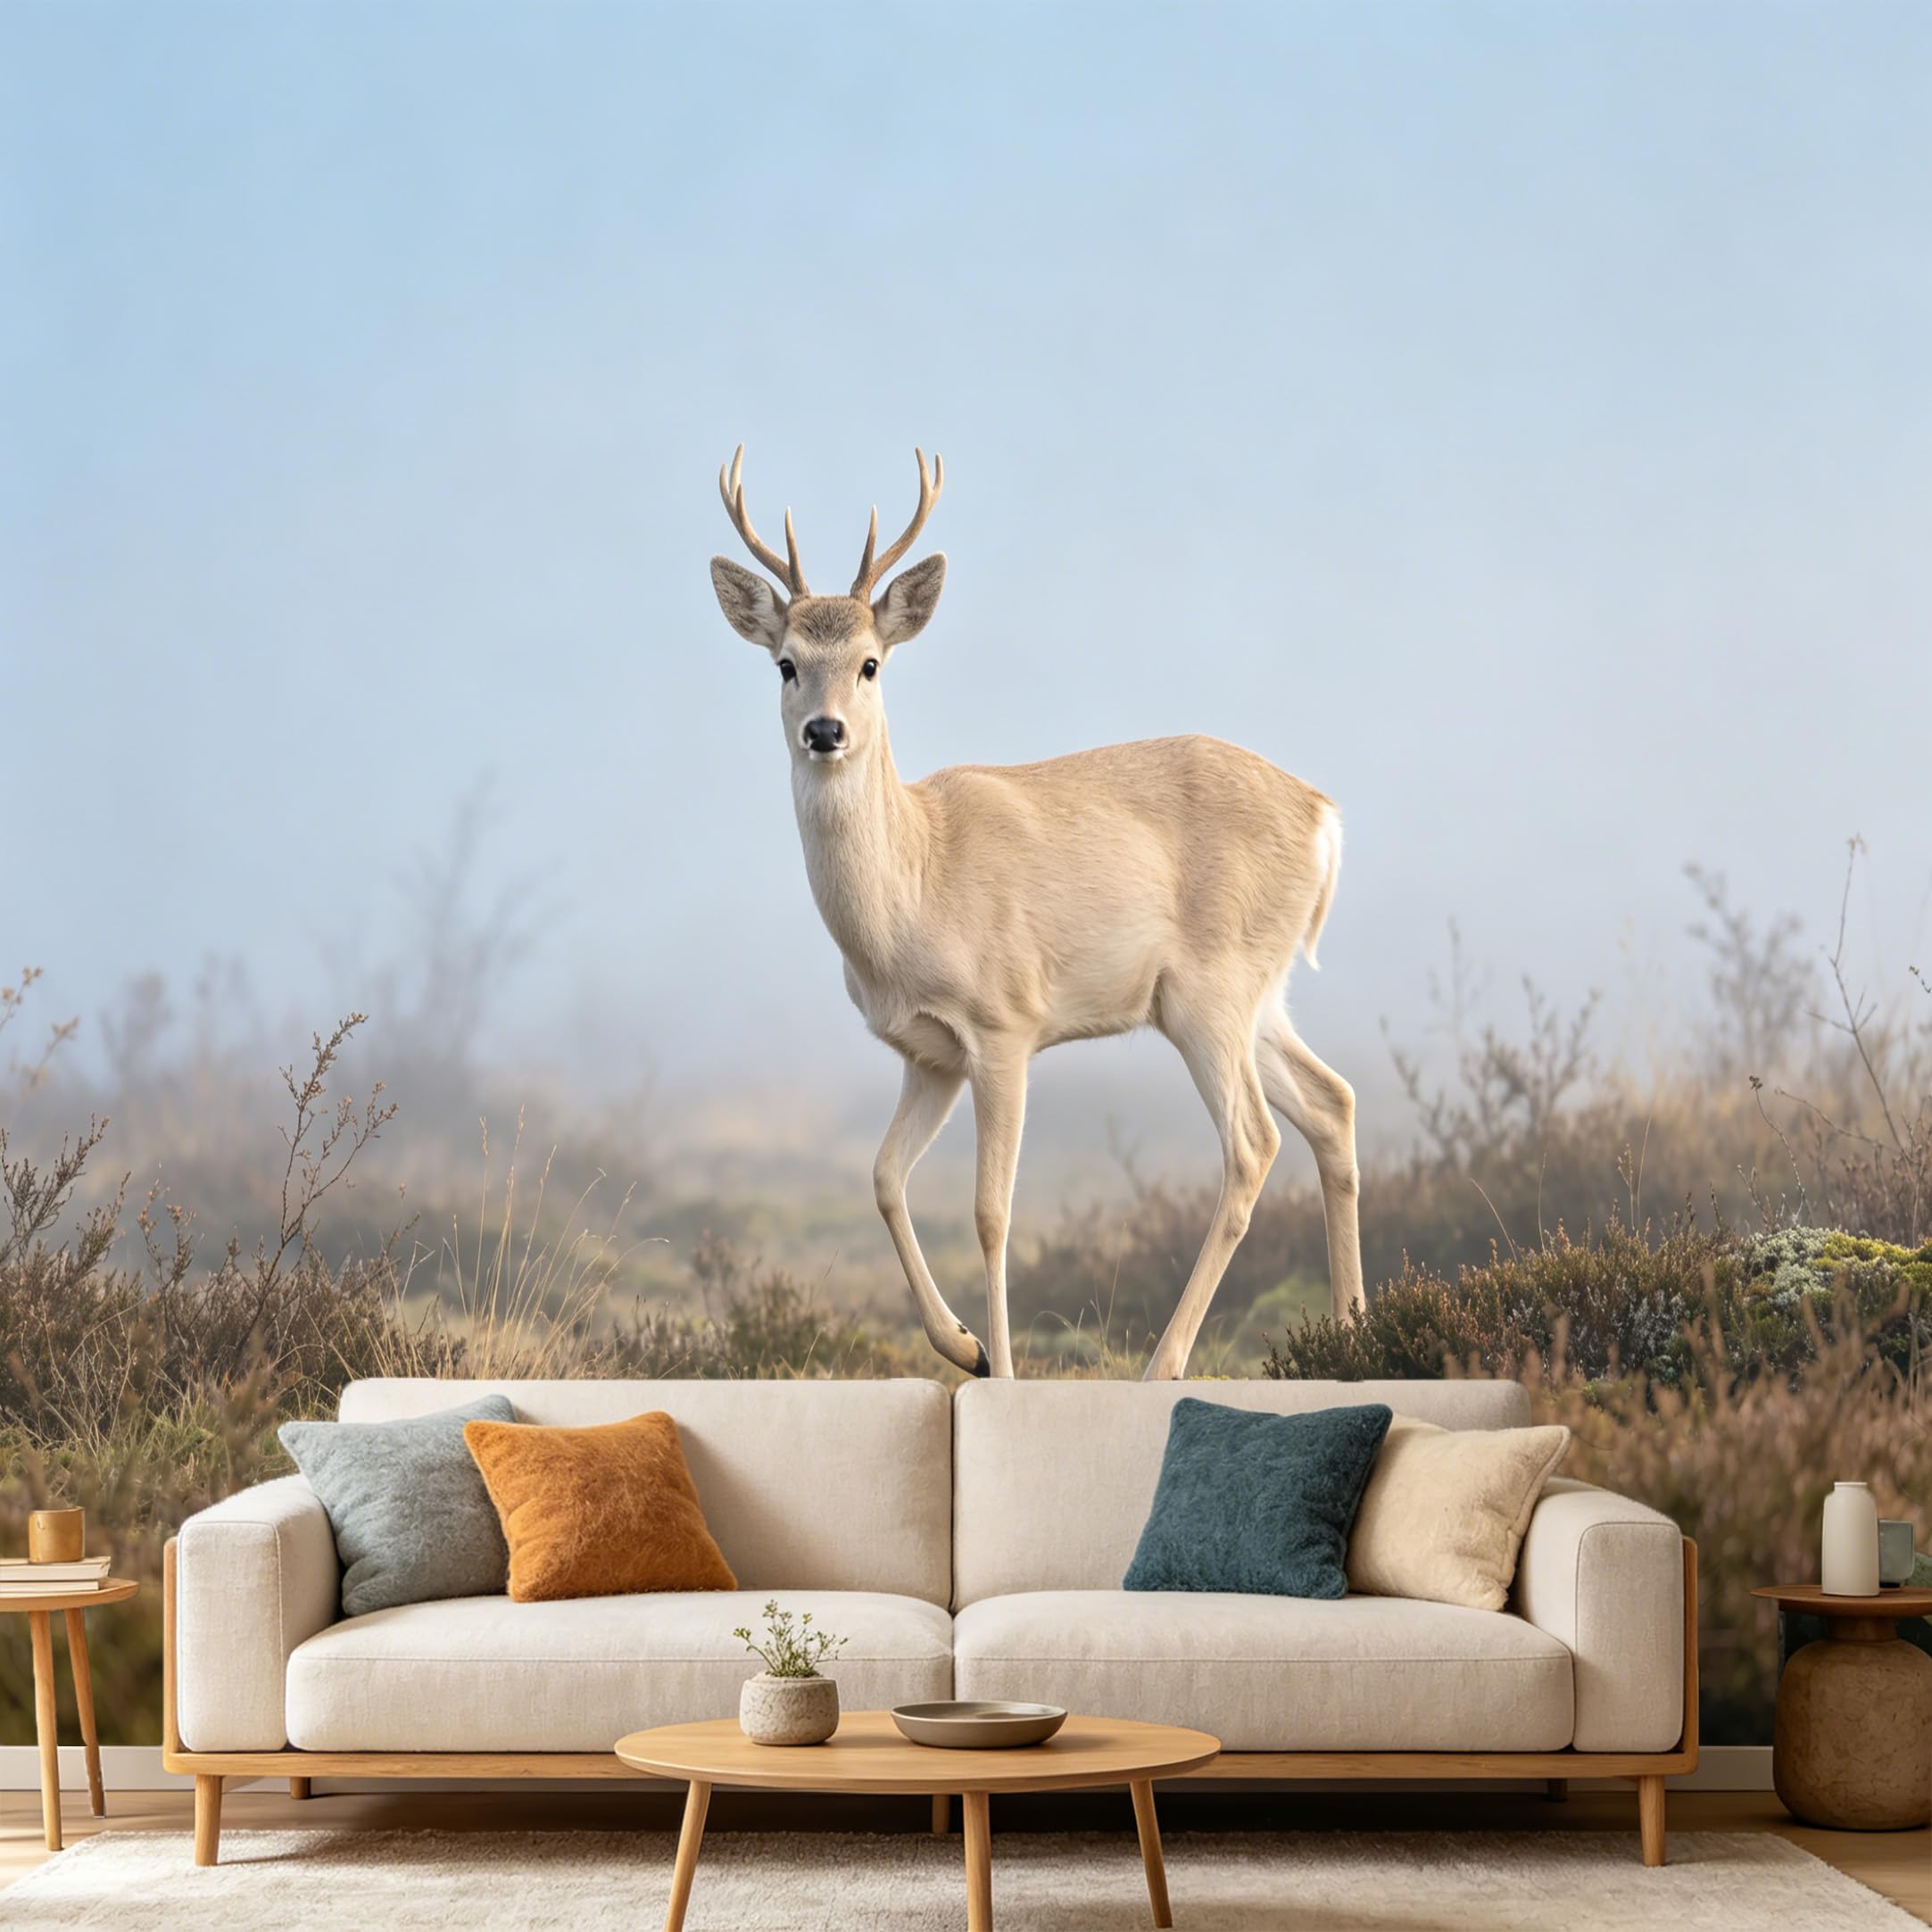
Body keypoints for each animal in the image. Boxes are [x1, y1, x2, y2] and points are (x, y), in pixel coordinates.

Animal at [708, 446, 1362, 1380]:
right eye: (785, 662)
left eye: (871, 662)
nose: (825, 732)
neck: (917, 885)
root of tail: (1323, 816)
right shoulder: (928, 1054)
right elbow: (882, 1178)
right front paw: (965, 1345)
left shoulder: (1005, 1025)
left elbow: (991, 1214)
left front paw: (1002, 1369)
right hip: (1255, 996)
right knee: (1331, 1102)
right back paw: (1350, 1335)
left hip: (1210, 992)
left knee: (1253, 1144)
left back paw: (1164, 1364)